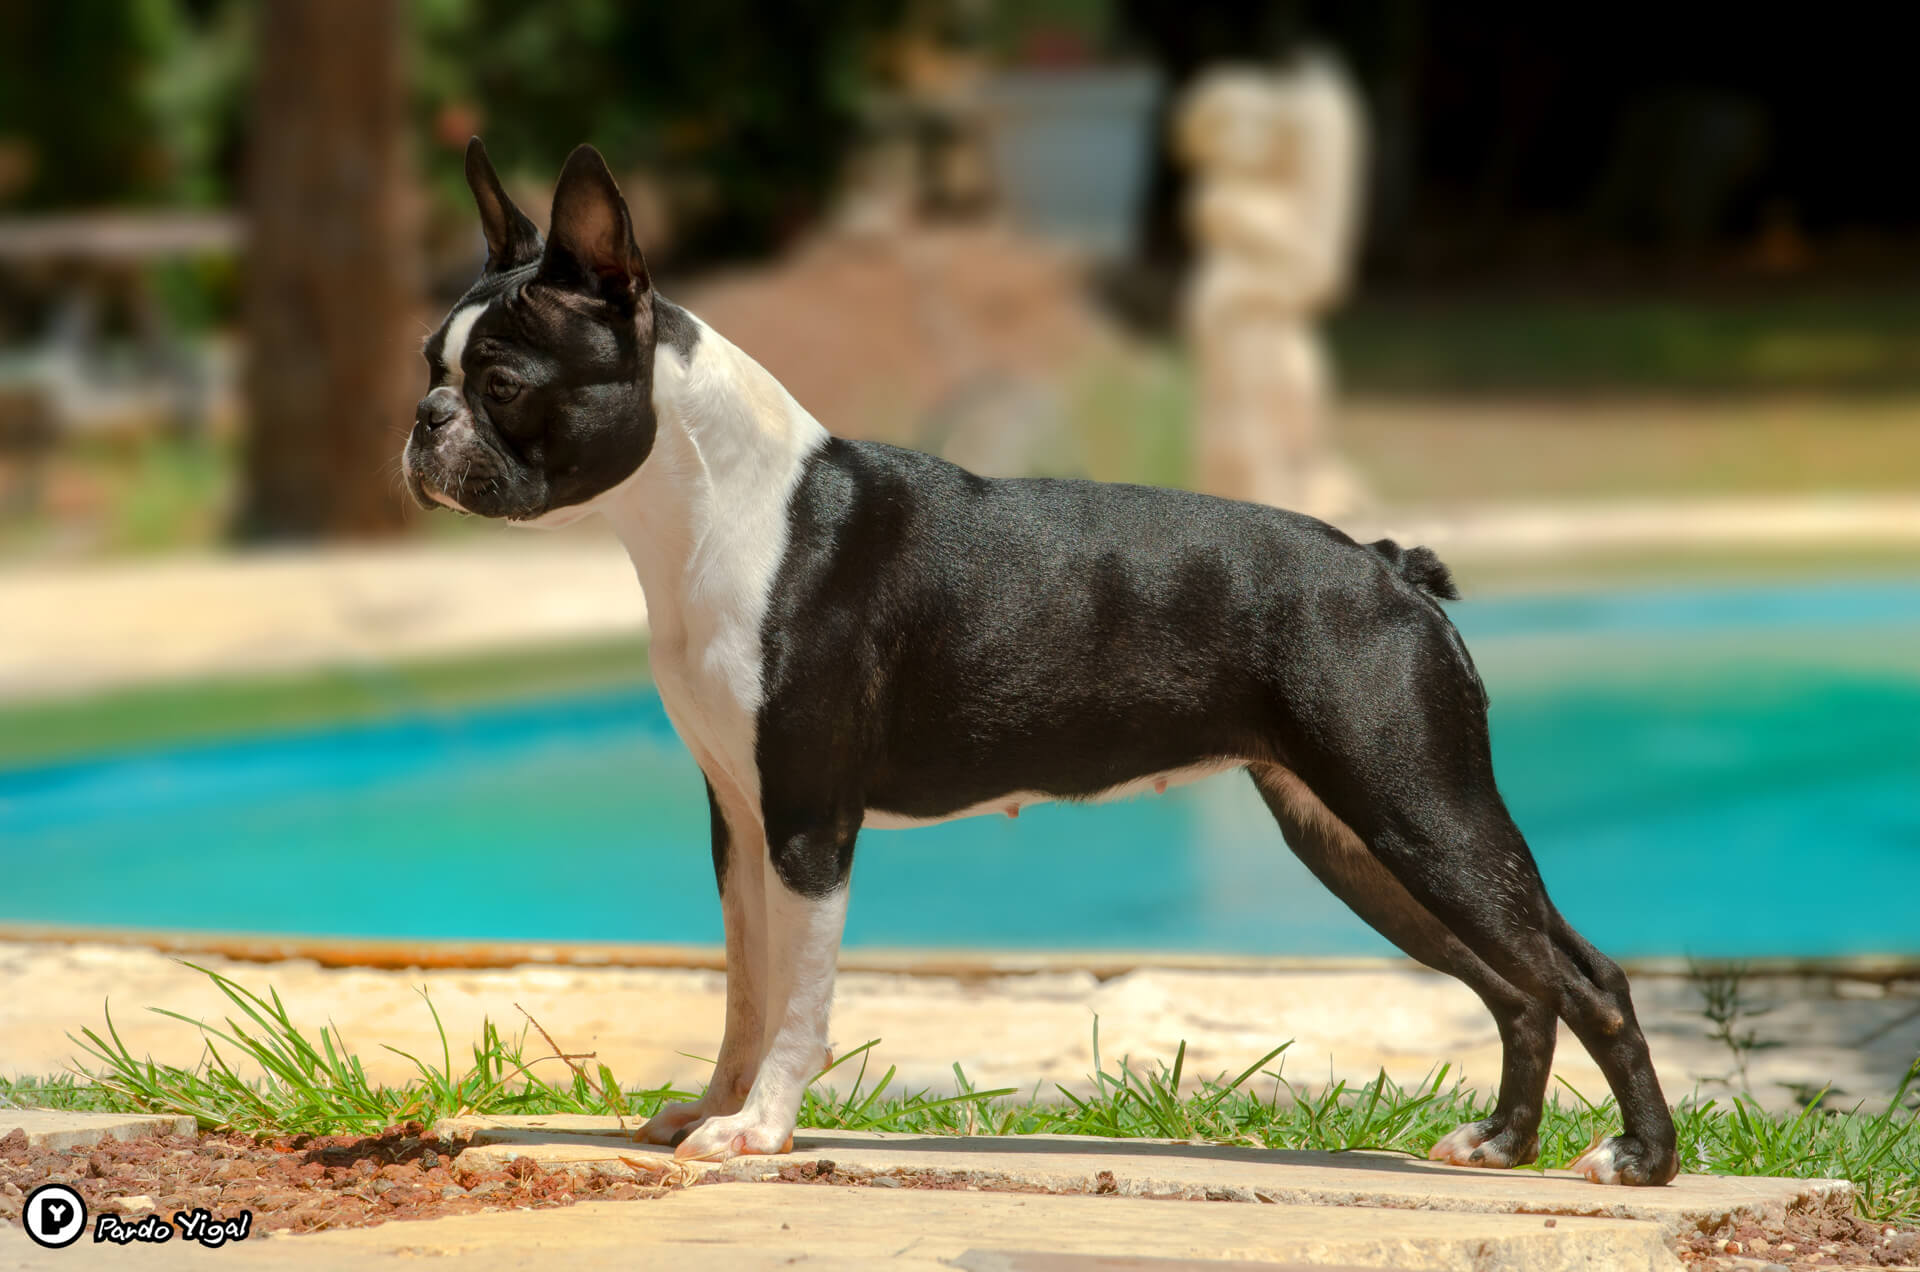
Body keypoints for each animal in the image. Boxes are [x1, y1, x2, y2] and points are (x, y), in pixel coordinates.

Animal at [401, 139, 1679, 1184]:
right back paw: (1503, 1144)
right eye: (429, 364)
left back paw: (1640, 1160)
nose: (420, 420)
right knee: (1516, 984)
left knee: (1585, 975)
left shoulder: (808, 822)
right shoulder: (740, 821)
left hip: (1420, 807)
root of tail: (1389, 567)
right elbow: (743, 986)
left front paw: (760, 1130)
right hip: (1355, 840)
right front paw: (709, 1113)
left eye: (502, 383)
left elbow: (799, 998)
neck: (715, 510)